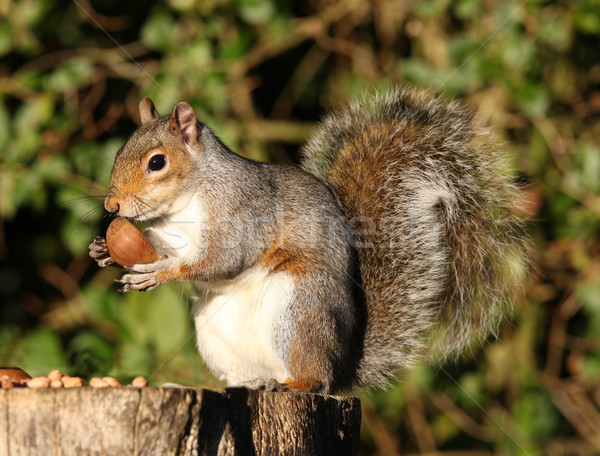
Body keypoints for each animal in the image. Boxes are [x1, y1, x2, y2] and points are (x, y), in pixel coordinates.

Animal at [88, 87, 524, 394]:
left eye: (157, 162)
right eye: (120, 150)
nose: (111, 204)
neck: (186, 200)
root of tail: (342, 365)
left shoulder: (242, 214)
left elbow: (221, 260)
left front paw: (157, 273)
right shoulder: (171, 234)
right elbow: (165, 249)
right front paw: (106, 251)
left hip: (298, 306)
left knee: (314, 380)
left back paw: (289, 382)